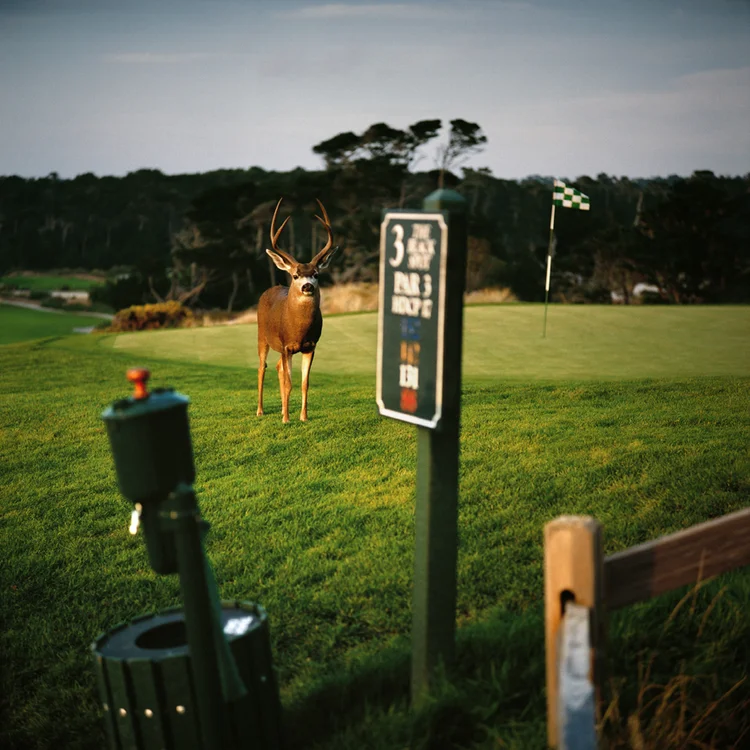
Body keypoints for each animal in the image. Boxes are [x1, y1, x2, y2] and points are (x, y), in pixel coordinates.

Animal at [256, 198, 337, 423]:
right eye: (295, 275)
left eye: (316, 274)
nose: (307, 286)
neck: (298, 328)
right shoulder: (286, 346)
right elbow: (288, 383)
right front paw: (286, 419)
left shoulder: (310, 346)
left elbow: (303, 383)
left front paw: (303, 417)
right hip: (262, 336)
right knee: (262, 368)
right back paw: (260, 410)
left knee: (277, 367)